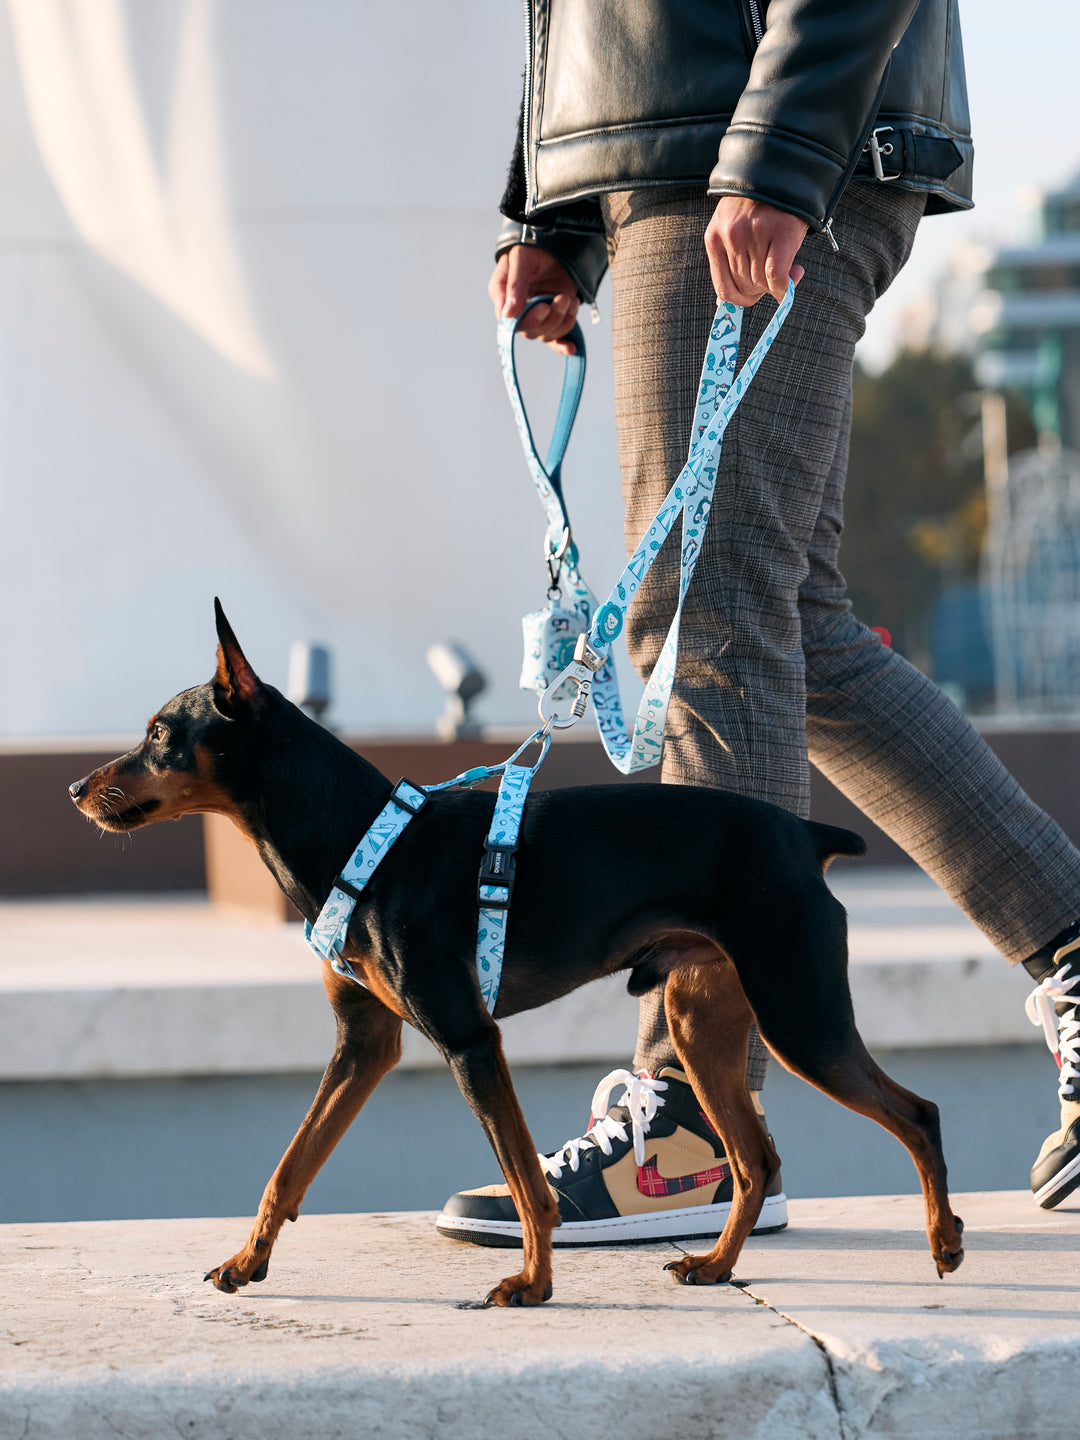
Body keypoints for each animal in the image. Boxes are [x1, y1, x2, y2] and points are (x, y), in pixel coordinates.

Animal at [65, 601, 961, 1301]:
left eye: (159, 734)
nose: (75, 789)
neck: (363, 834)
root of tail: (806, 835)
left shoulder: (468, 1038)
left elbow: (529, 1183)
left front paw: (533, 1284)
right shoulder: (364, 1042)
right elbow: (292, 1164)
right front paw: (246, 1262)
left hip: (799, 1014)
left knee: (915, 1113)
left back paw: (945, 1240)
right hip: (704, 1023)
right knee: (752, 1159)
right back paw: (714, 1265)